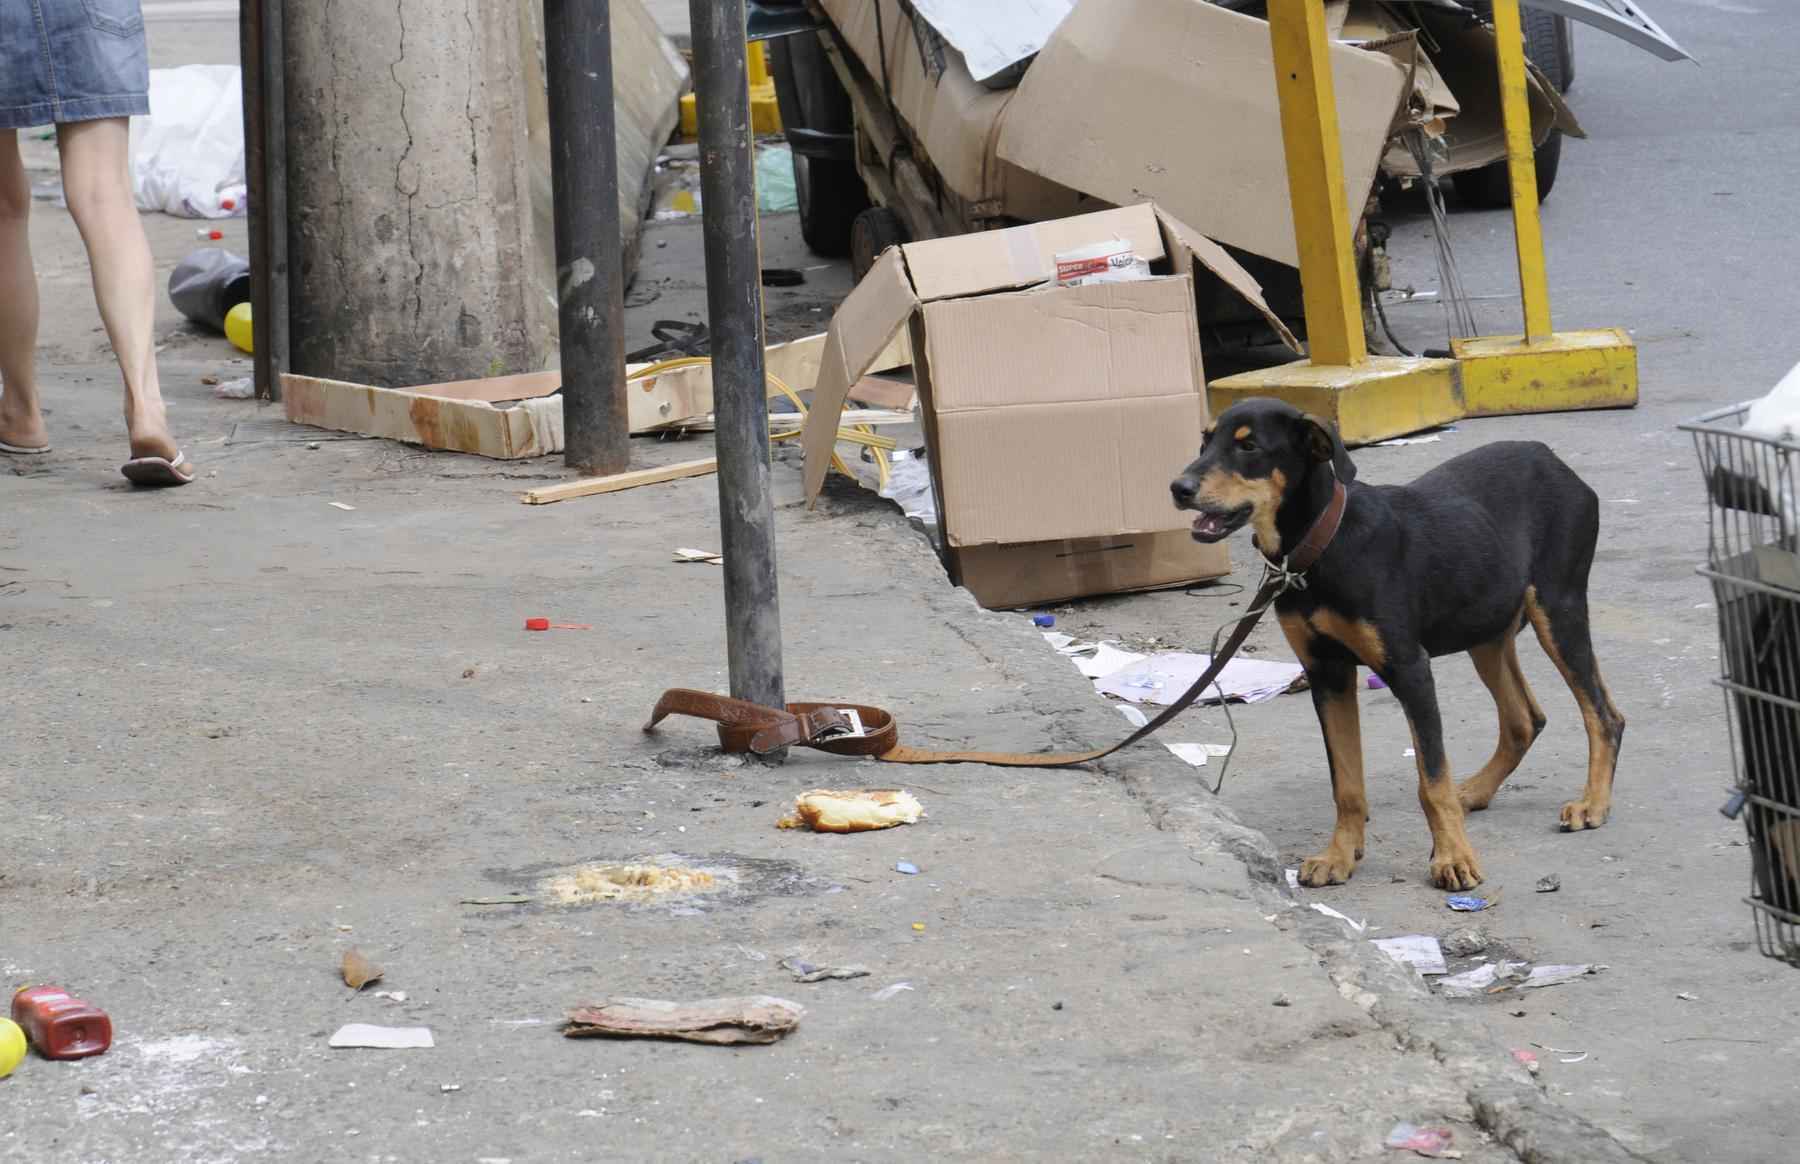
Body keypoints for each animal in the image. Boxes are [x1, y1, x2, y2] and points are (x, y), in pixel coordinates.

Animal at [1173, 401, 1627, 892]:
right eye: (1204, 440)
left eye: (1250, 446)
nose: (1178, 488)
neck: (1321, 546)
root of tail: (1550, 456)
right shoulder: (1326, 674)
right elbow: (1346, 783)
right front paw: (1340, 856)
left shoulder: (1410, 669)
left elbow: (1431, 781)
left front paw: (1453, 858)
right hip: (1485, 629)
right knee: (1525, 719)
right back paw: (1477, 791)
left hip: (1557, 608)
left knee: (1603, 715)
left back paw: (1592, 804)